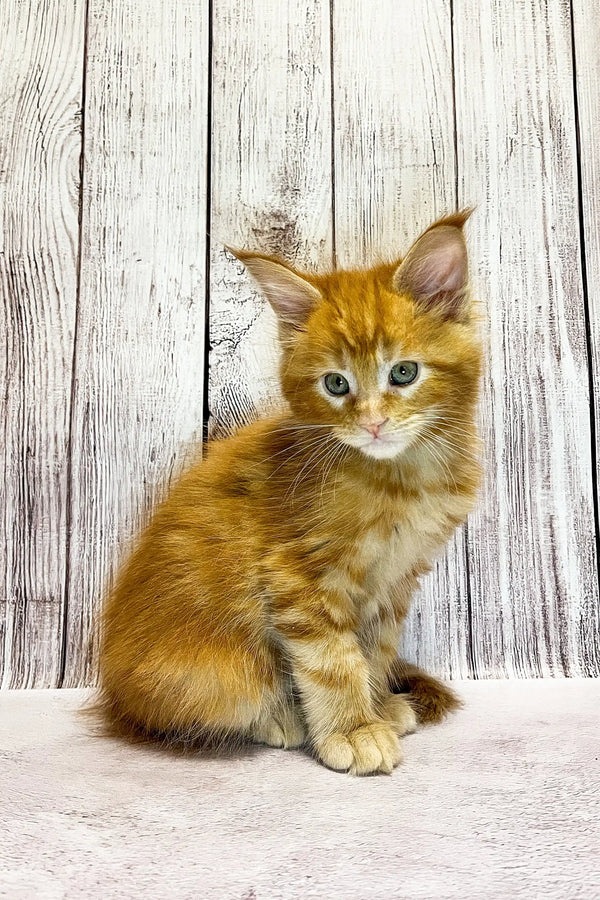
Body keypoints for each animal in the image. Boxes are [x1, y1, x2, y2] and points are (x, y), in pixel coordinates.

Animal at [97, 211, 482, 772]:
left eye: (404, 372)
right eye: (336, 385)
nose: (373, 424)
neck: (400, 479)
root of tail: (112, 695)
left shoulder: (394, 580)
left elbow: (374, 650)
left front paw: (378, 706)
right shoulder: (296, 573)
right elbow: (333, 660)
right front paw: (353, 729)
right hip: (220, 673)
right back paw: (280, 719)